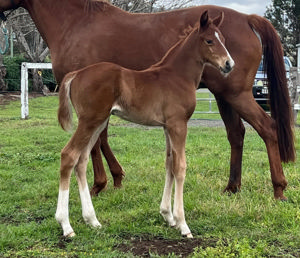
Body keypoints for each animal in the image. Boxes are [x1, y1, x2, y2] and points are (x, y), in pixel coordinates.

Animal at [55, 11, 234, 238]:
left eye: (224, 39)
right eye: (209, 40)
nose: (229, 64)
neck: (177, 76)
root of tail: (76, 74)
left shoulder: (167, 127)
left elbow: (169, 164)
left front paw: (168, 216)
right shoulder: (178, 125)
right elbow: (180, 167)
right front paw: (183, 224)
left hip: (98, 123)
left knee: (82, 160)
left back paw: (92, 220)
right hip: (89, 121)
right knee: (69, 155)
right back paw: (66, 225)